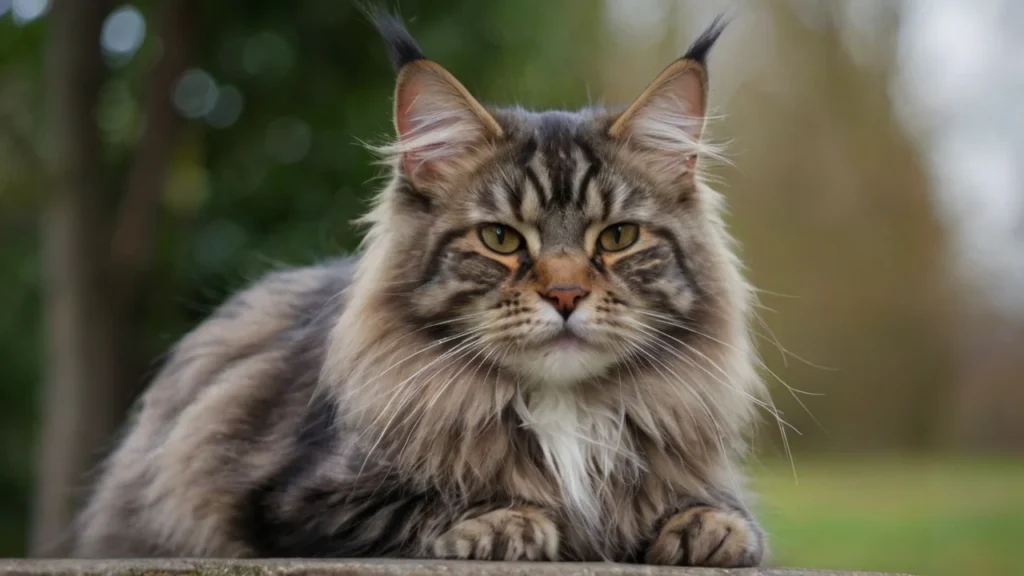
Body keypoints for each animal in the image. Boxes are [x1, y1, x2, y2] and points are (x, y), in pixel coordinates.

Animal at [74, 8, 770, 565]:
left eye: (619, 237)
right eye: (501, 239)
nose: (566, 296)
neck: (563, 409)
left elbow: (730, 515)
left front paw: (708, 528)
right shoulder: (298, 499)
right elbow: (432, 505)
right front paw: (512, 522)